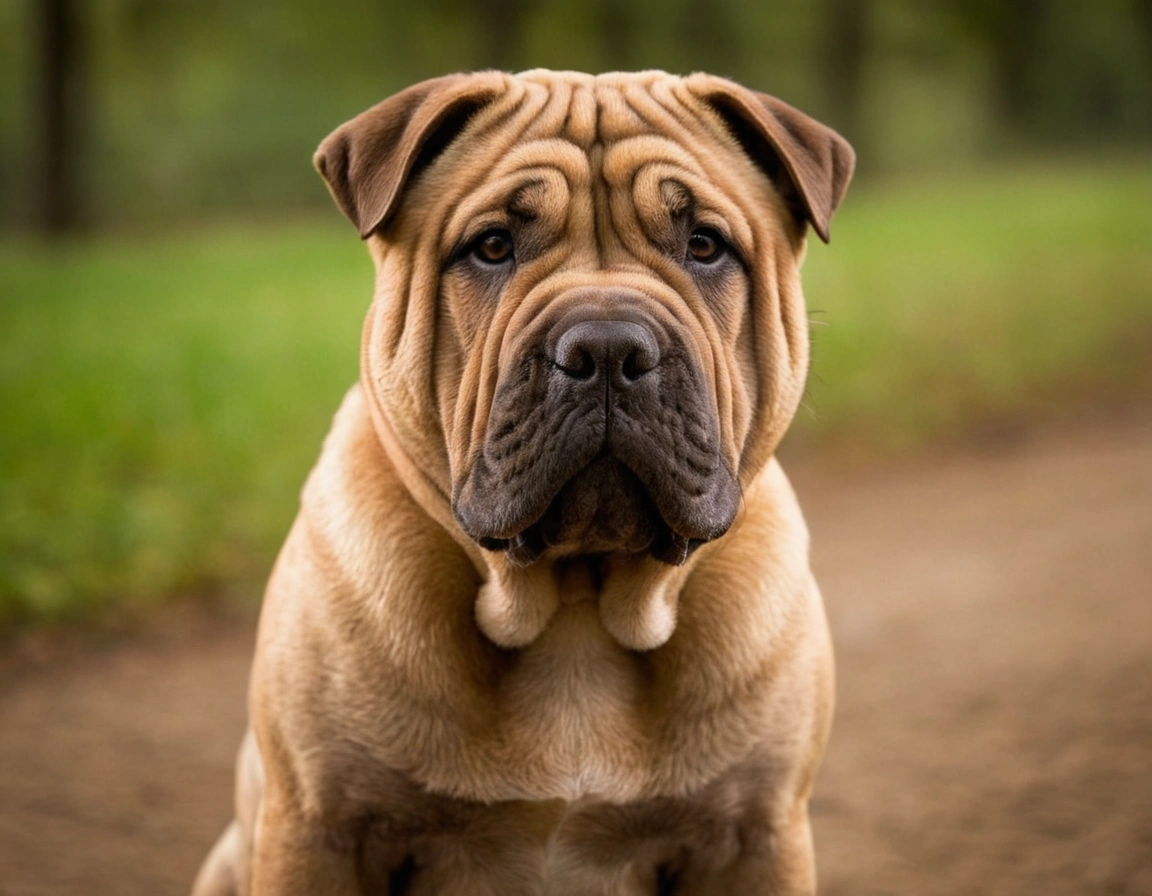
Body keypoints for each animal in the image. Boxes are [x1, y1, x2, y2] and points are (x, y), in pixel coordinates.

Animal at [191, 71, 857, 893]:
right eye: (492, 247)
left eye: (705, 245)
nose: (607, 349)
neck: (575, 609)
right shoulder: (319, 828)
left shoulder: (756, 835)